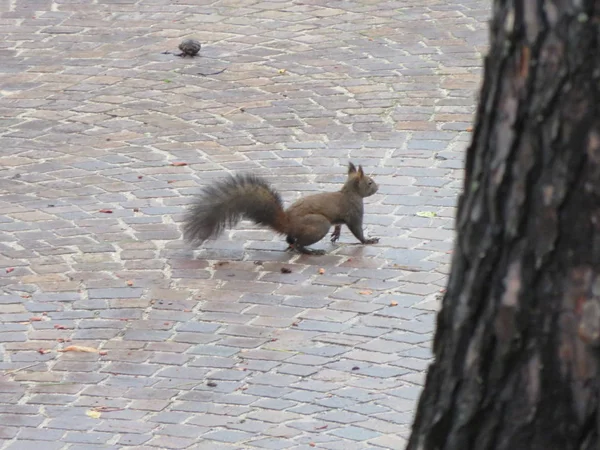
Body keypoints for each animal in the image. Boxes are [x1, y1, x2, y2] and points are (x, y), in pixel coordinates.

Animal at [183, 162, 380, 255]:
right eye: (369, 182)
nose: (378, 187)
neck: (349, 192)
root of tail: (288, 222)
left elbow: (339, 224)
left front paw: (336, 234)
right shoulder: (354, 212)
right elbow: (357, 231)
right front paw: (368, 240)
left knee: (290, 239)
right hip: (319, 224)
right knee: (299, 243)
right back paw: (312, 251)